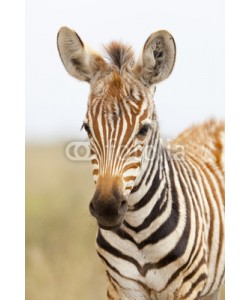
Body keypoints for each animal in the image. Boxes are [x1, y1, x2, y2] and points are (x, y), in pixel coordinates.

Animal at [57, 27, 225, 298]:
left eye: (144, 130)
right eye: (87, 128)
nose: (107, 208)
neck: (138, 232)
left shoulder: (187, 287)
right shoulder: (120, 287)